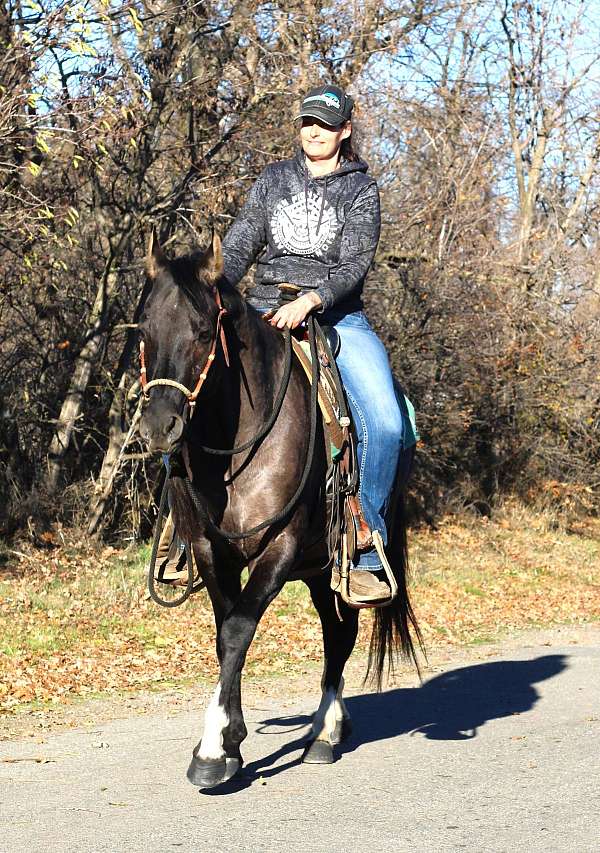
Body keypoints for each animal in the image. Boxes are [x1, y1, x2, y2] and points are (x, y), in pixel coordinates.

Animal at [138, 230, 420, 788]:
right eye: (144, 330)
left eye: (202, 332)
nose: (160, 427)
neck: (242, 441)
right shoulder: (213, 551)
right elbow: (226, 632)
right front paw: (231, 742)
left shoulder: (280, 547)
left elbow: (239, 630)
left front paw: (211, 751)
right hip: (317, 568)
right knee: (337, 630)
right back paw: (330, 725)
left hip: (333, 560)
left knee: (341, 635)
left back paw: (324, 734)